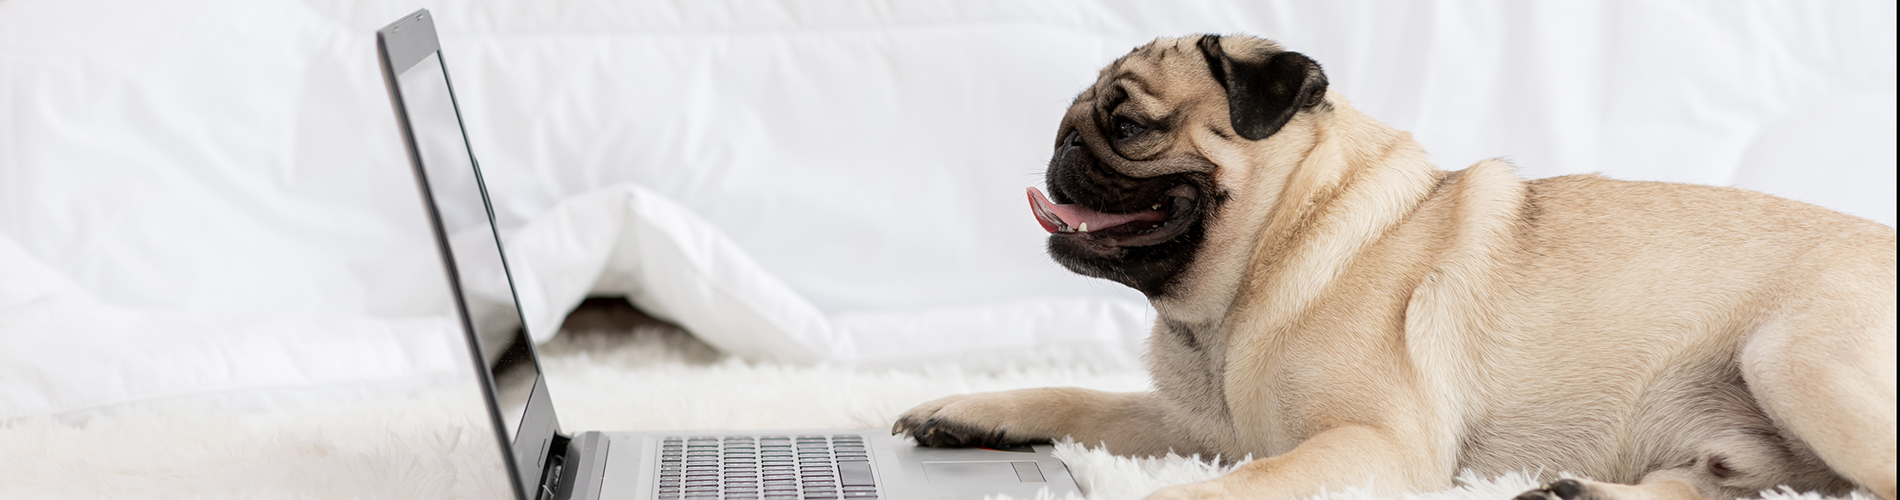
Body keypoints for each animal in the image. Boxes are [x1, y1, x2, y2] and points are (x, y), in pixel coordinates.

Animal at [893, 34, 1900, 500]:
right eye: (1073, 116)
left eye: (1127, 123)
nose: (1062, 142)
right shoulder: (1213, 421)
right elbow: (1082, 400)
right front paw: (972, 411)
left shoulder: (1370, 443)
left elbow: (1242, 485)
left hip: (1793, 358)